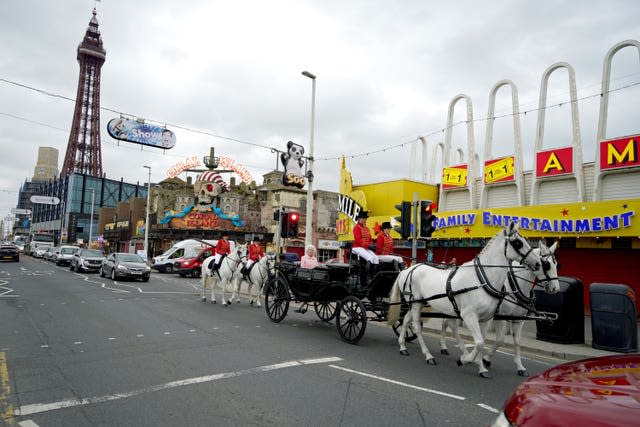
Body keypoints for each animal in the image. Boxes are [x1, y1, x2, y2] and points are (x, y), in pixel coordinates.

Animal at [440, 242, 560, 376]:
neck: (514, 286)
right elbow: (500, 339)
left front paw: (520, 367)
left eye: (557, 265)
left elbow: (517, 341)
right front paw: (486, 359)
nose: (556, 289)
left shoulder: (518, 319)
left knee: (448, 323)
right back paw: (457, 351)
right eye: (547, 265)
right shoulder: (501, 316)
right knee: (451, 325)